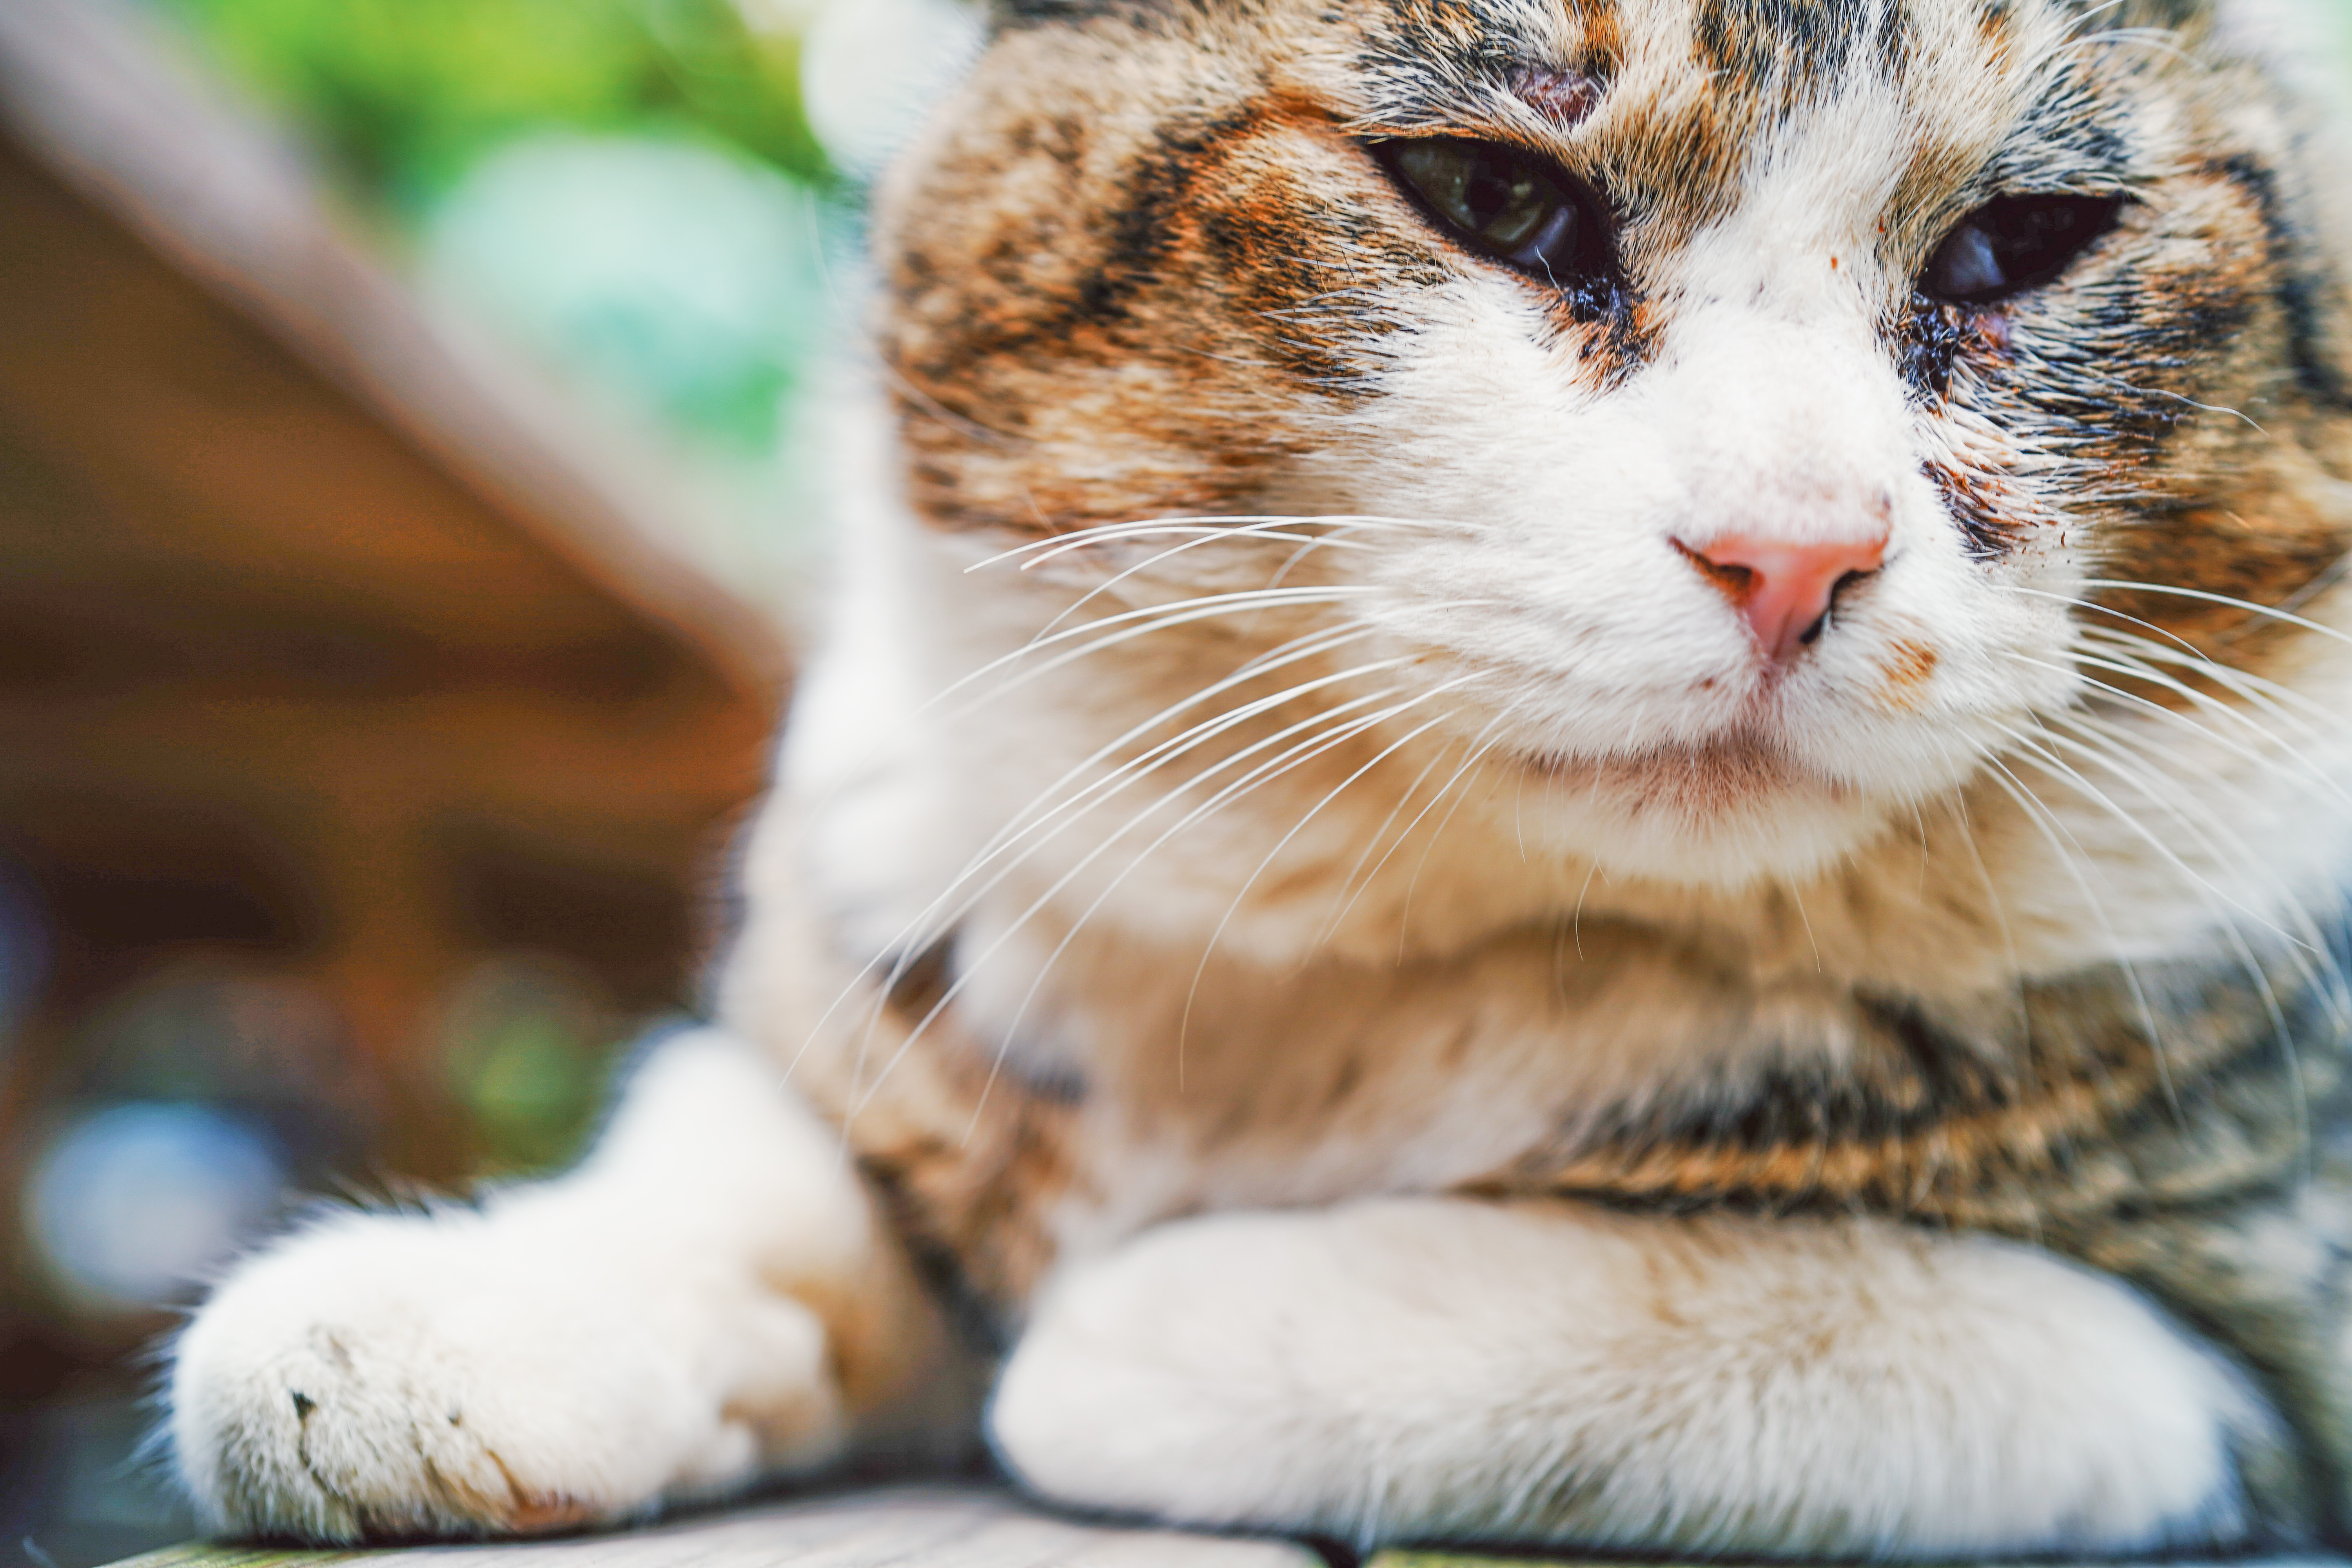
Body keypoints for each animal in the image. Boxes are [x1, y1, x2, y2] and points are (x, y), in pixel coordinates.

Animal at [166, 0, 2352, 1552]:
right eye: (1491, 197)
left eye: (2021, 243)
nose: (1793, 549)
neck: (1349, 952)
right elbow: (746, 1156)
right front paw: (456, 1314)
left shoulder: (2236, 1378)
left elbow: (1788, 1307)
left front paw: (1140, 1327)